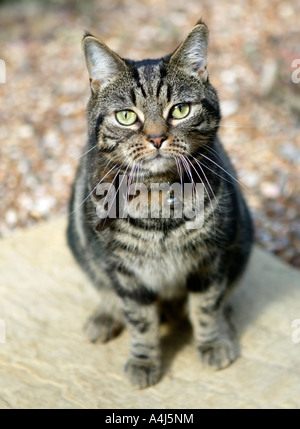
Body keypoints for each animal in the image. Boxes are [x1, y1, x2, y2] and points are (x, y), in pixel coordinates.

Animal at [67, 19, 253, 388]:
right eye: (126, 116)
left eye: (180, 110)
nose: (156, 138)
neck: (158, 197)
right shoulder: (124, 273)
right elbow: (140, 320)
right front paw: (143, 360)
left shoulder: (210, 260)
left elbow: (206, 306)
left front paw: (213, 342)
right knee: (106, 294)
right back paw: (103, 318)